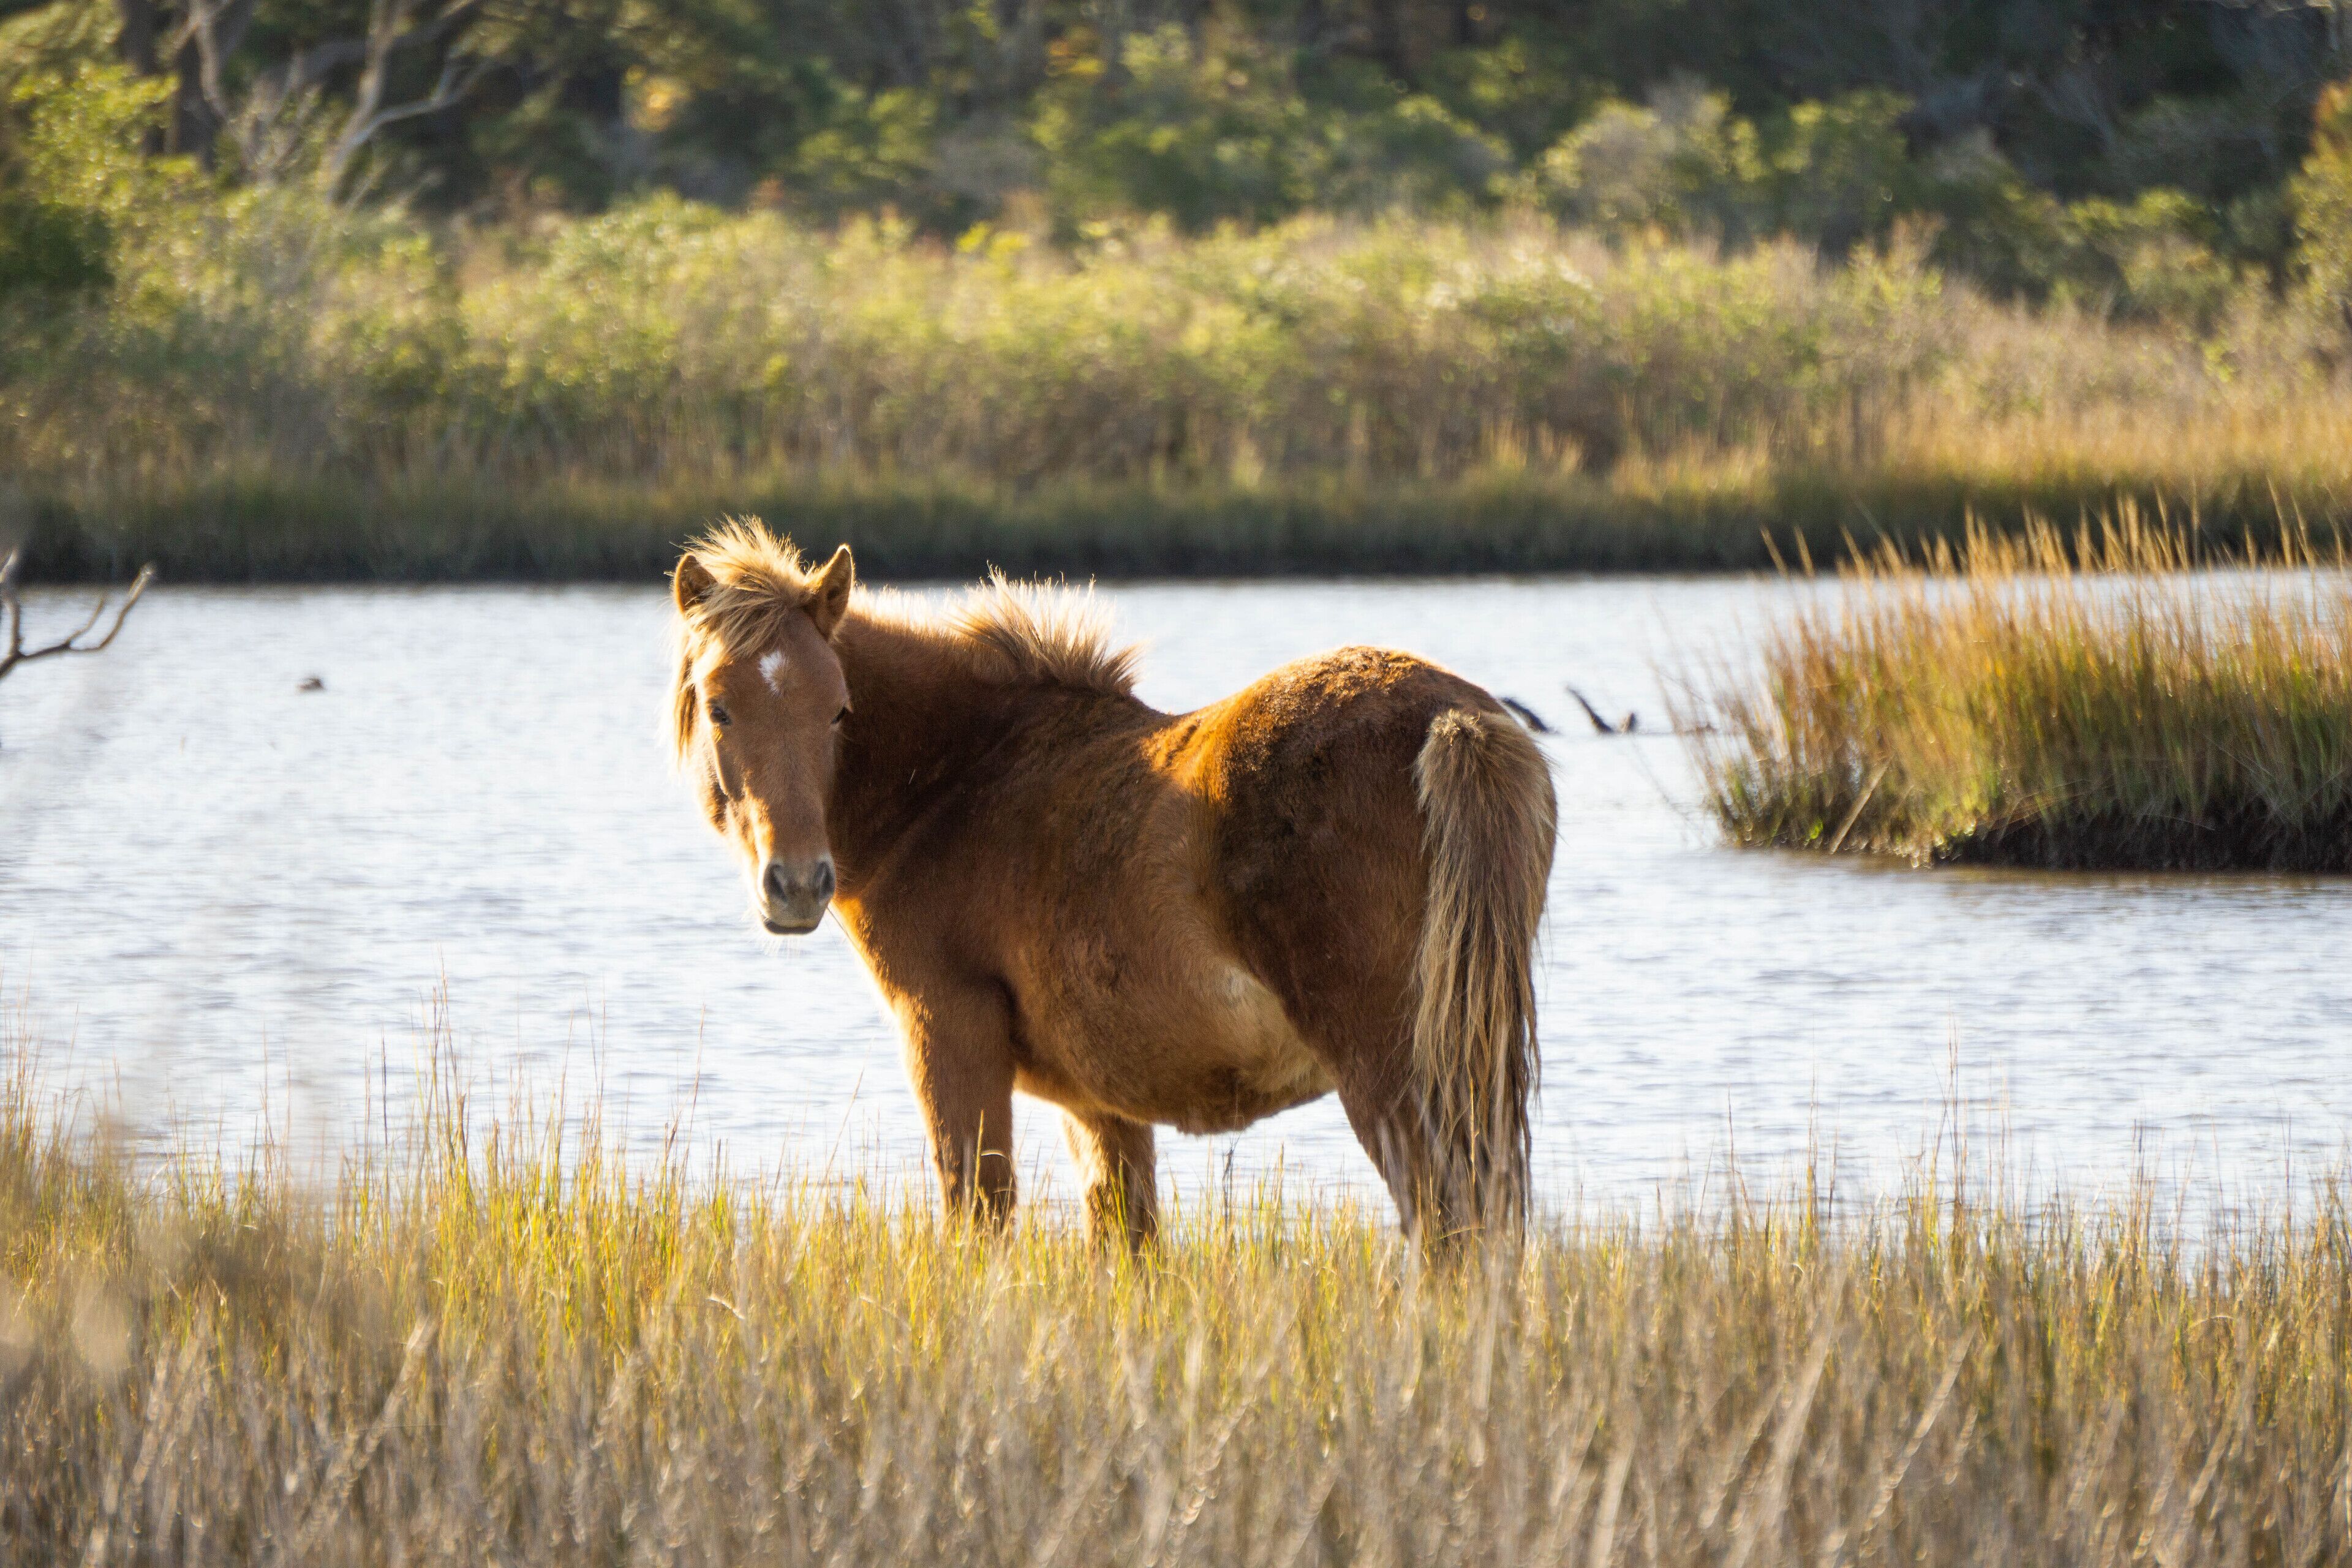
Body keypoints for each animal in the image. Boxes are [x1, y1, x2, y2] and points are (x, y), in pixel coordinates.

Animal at [667, 520, 1556, 1247]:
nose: (797, 884)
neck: (960, 778)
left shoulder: (945, 1033)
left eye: (839, 710)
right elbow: (1126, 1240)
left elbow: (978, 1219)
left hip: (1392, 1072)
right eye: (718, 708)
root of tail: (1456, 723)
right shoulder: (1100, 1102)